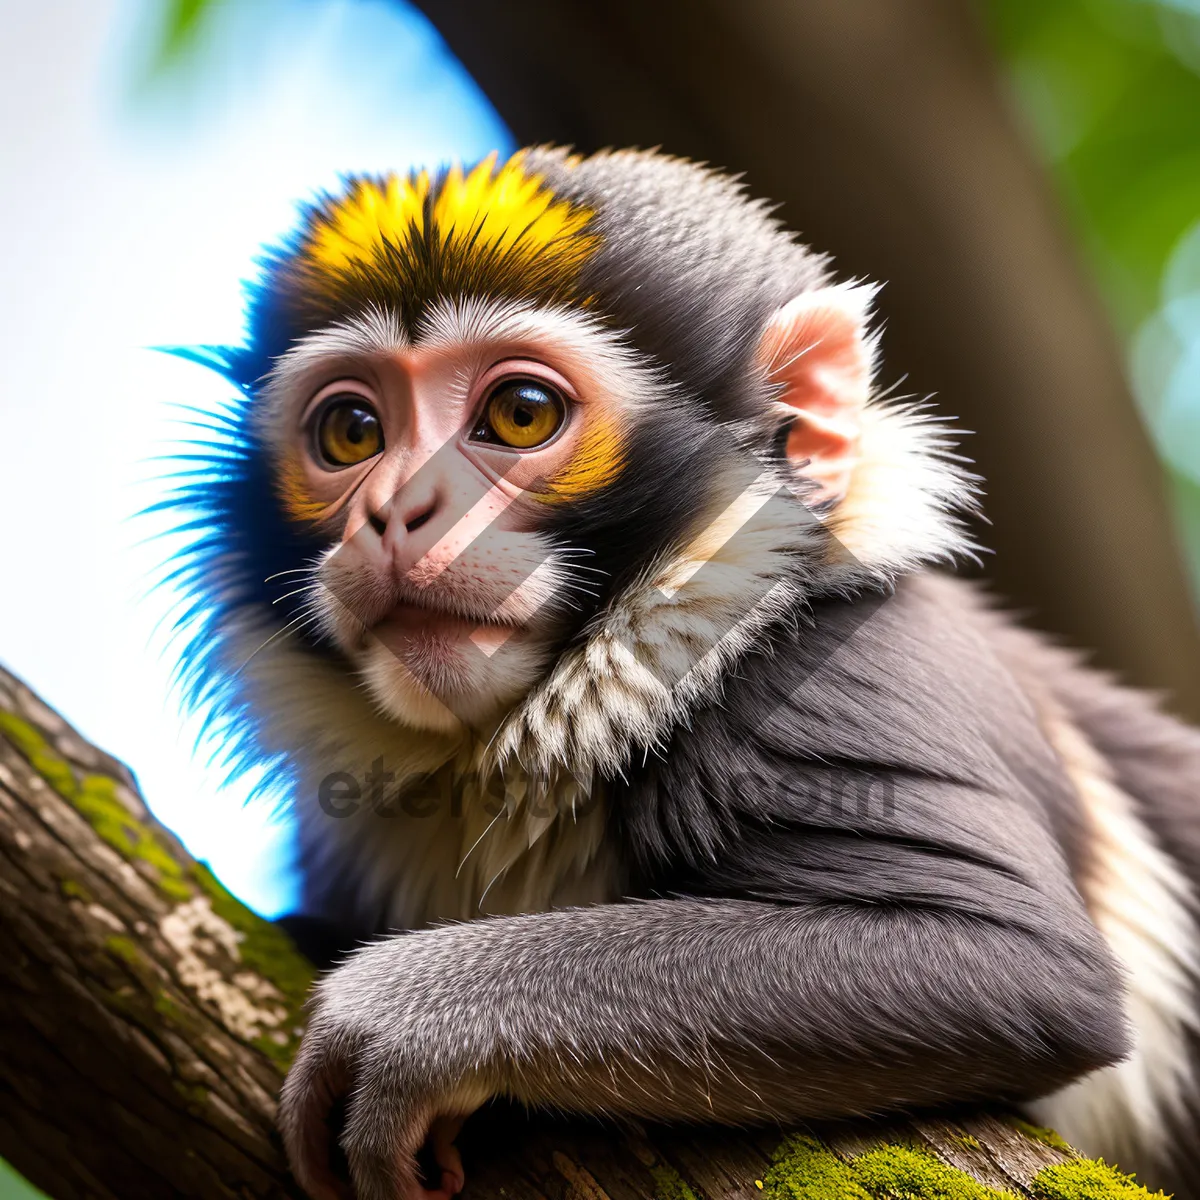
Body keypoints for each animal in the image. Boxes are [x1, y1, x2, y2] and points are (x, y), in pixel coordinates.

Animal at [166, 150, 1200, 1200]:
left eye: (520, 414)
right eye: (351, 432)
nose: (393, 512)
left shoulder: (828, 678)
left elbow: (1024, 967)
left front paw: (405, 1019)